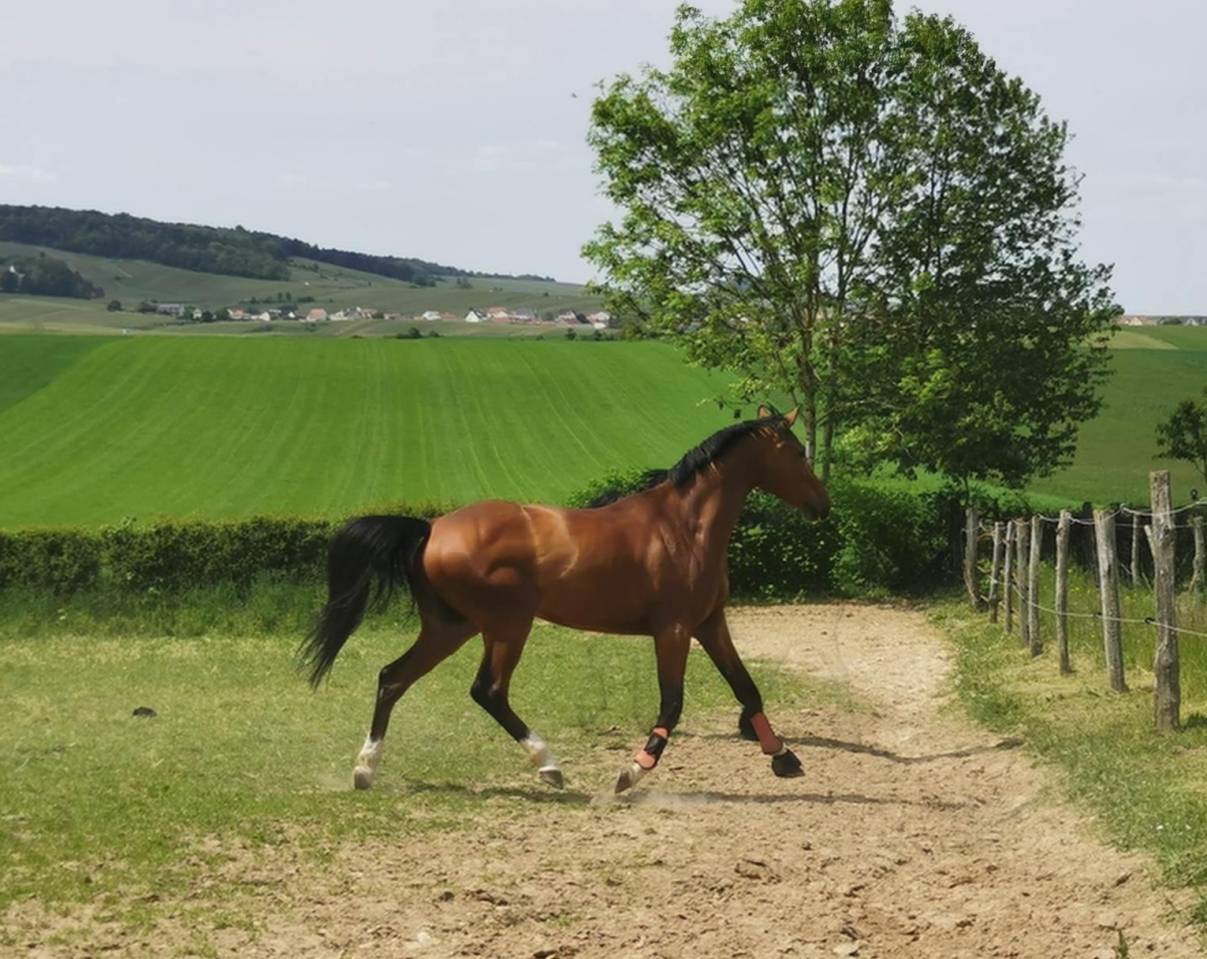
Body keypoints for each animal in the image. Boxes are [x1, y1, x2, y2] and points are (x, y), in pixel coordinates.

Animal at [299, 406, 830, 794]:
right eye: (796, 452)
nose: (823, 506)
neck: (684, 527)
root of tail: (430, 528)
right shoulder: (674, 629)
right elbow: (673, 703)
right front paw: (631, 771)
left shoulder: (710, 622)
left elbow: (747, 688)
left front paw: (784, 756)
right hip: (507, 625)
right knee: (487, 691)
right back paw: (550, 765)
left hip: (452, 626)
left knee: (393, 678)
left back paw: (365, 770)